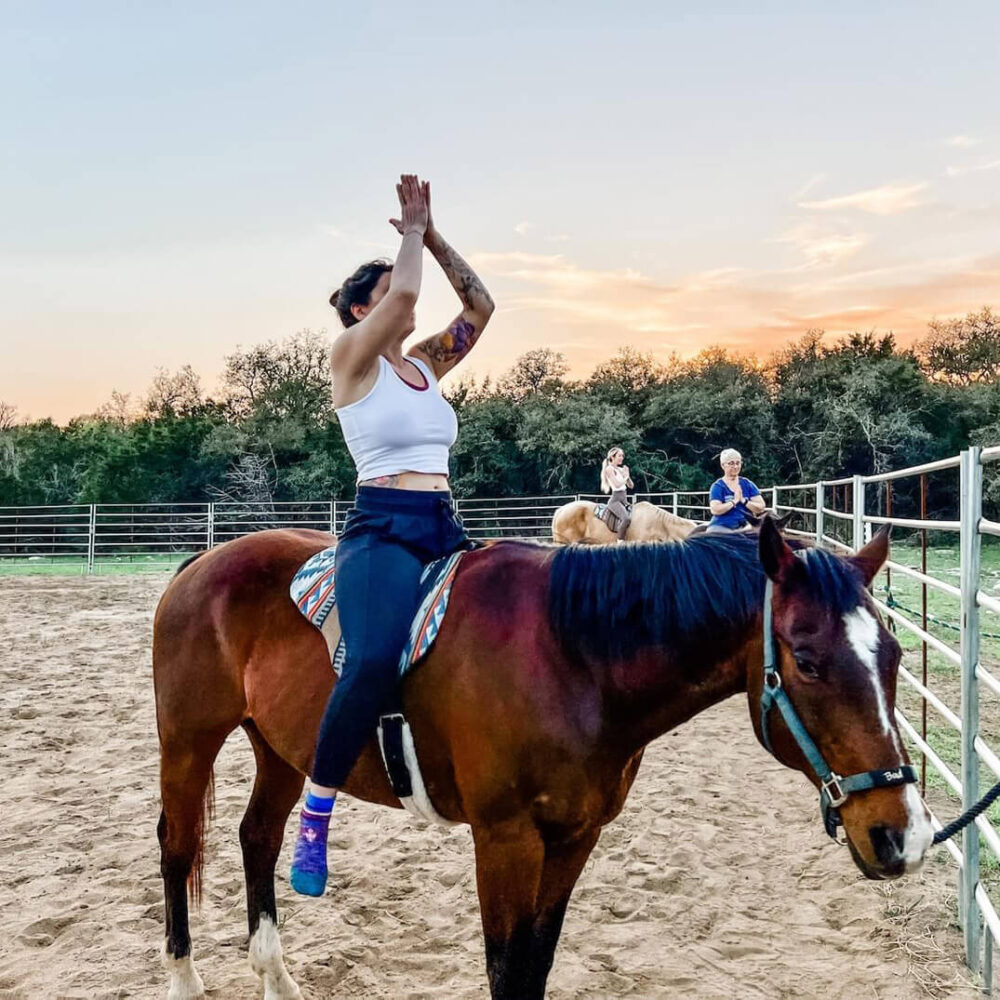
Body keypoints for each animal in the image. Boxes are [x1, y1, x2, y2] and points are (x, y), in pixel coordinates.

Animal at [154, 520, 928, 996]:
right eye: (807, 661)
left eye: (892, 656)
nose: (904, 833)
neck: (573, 658)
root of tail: (202, 563)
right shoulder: (505, 841)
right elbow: (506, 970)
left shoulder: (574, 837)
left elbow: (537, 964)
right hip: (188, 743)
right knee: (177, 843)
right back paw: (184, 979)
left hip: (282, 749)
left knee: (257, 836)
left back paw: (275, 977)